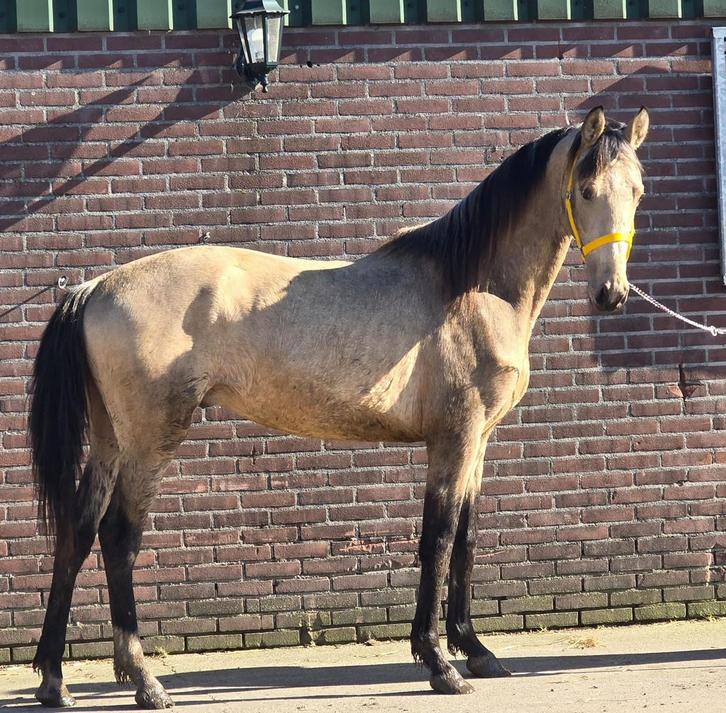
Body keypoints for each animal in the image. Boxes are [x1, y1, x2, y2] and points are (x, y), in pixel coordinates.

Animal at [29, 106, 649, 708]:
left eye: (638, 190)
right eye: (586, 189)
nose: (612, 294)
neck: (472, 288)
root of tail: (94, 287)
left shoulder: (479, 442)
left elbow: (466, 537)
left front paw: (475, 649)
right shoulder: (455, 437)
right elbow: (438, 537)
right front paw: (439, 663)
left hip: (111, 440)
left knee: (77, 532)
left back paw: (54, 681)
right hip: (151, 439)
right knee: (118, 536)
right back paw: (143, 679)